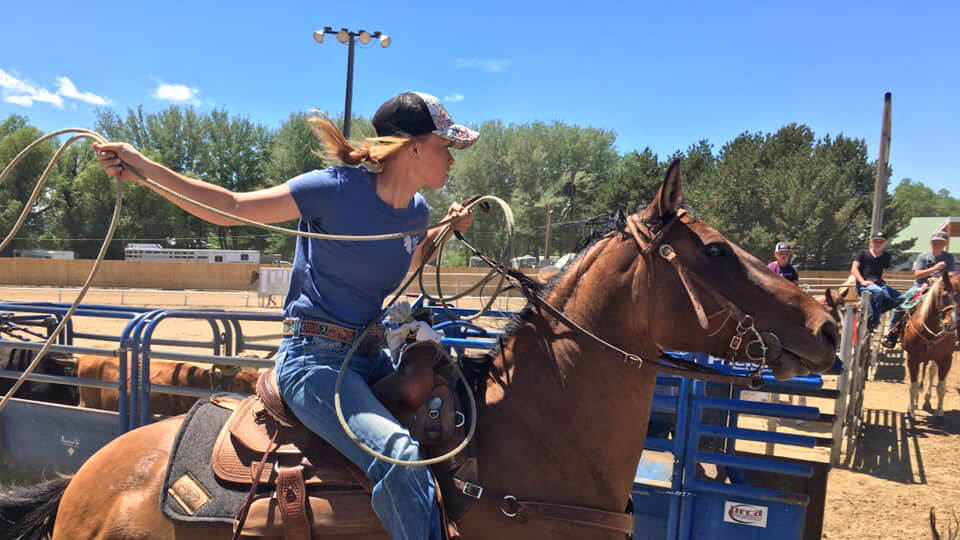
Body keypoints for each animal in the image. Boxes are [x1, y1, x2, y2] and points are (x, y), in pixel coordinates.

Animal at [904, 272, 956, 420]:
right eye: (944, 295)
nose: (951, 325)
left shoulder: (946, 359)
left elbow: (941, 387)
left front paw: (940, 412)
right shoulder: (912, 358)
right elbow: (913, 385)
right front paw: (910, 412)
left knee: (932, 372)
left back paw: (927, 401)